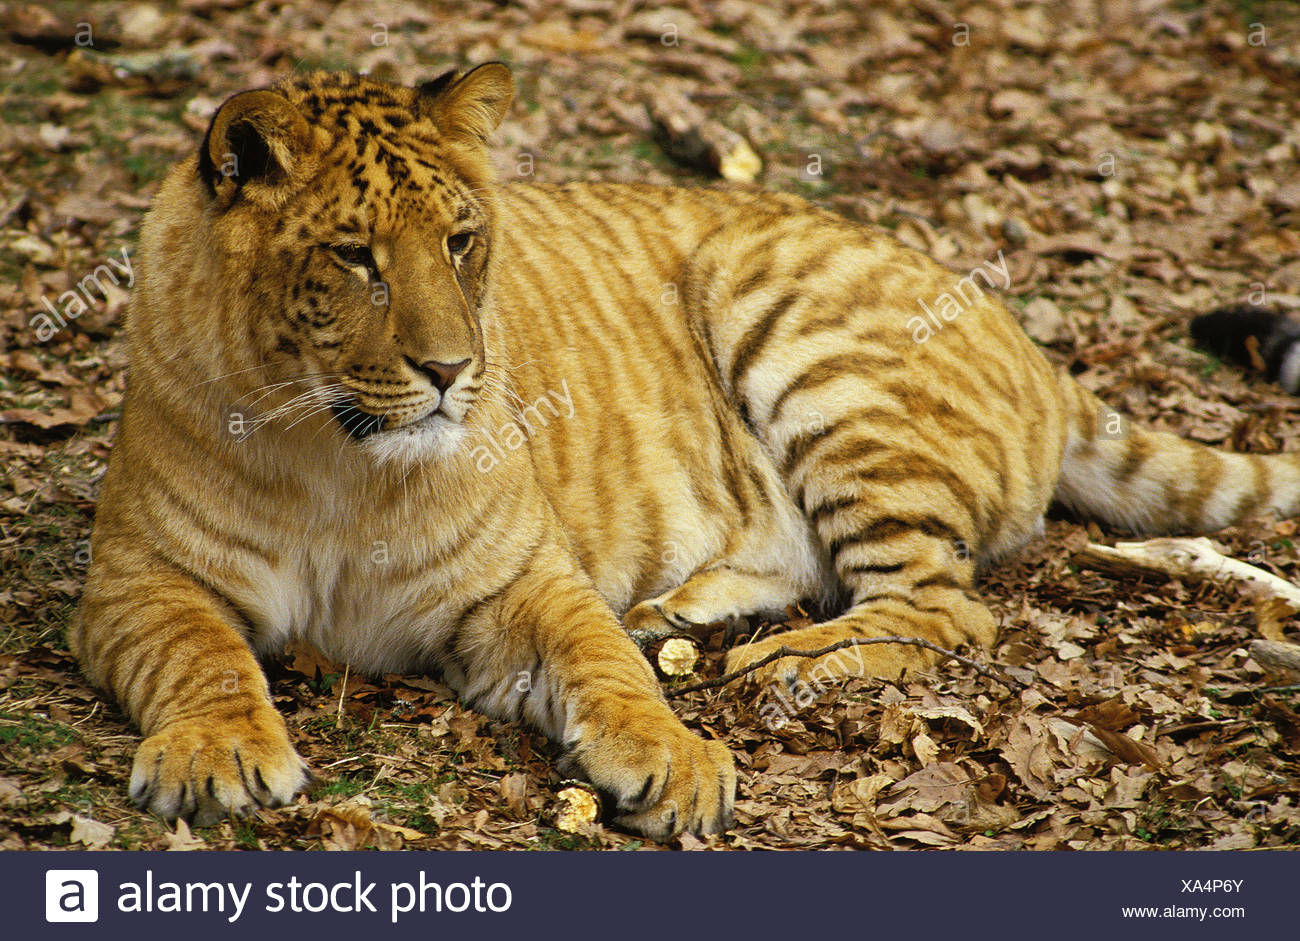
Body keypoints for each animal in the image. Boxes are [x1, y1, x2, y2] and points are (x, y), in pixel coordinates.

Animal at [71, 65, 1300, 842]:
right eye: (354, 257)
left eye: (462, 242)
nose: (452, 370)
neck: (337, 456)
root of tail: (1029, 338)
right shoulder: (134, 579)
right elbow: (202, 653)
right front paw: (218, 754)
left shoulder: (524, 579)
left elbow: (598, 658)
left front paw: (678, 759)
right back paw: (689, 615)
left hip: (779, 310)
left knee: (946, 607)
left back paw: (780, 664)